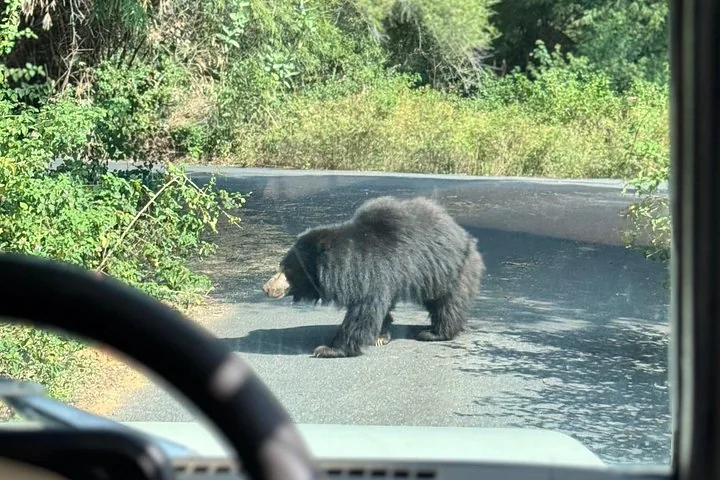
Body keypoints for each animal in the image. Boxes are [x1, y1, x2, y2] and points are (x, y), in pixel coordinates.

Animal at [261, 196, 485, 358]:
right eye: (281, 266)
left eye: (287, 269)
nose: (266, 288)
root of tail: (465, 235)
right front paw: (381, 335)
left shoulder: (373, 271)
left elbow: (363, 311)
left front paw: (328, 349)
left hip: (449, 270)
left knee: (448, 303)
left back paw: (434, 333)